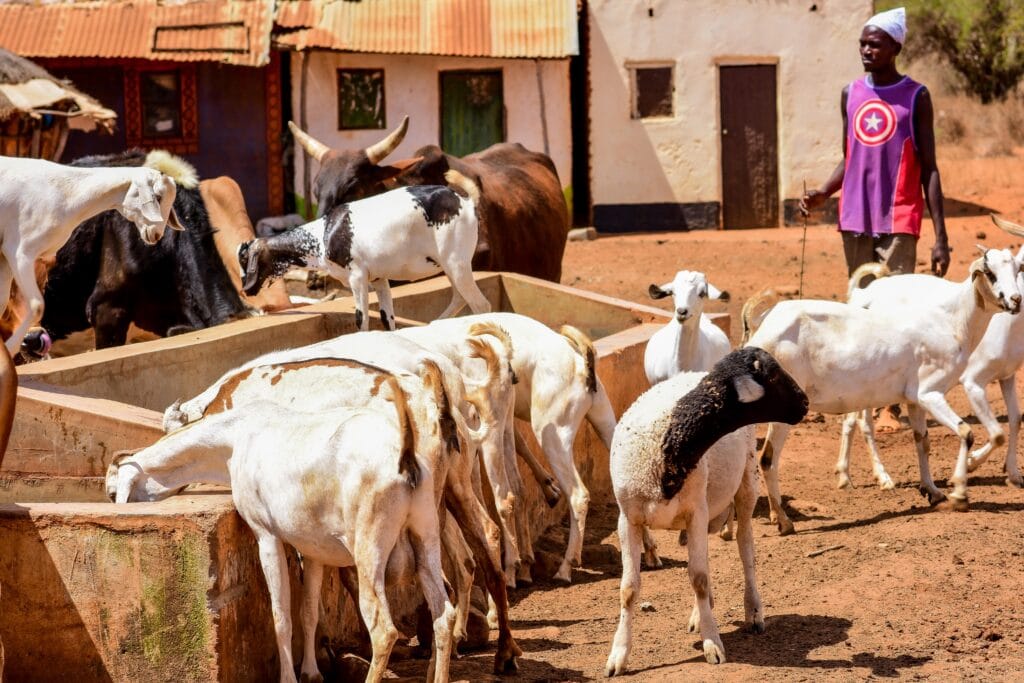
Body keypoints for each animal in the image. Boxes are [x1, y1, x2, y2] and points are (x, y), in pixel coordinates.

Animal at [0, 155, 184, 356]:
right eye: (157, 197)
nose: (156, 234)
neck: (67, 193)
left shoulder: (6, 260)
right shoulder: (20, 253)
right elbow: (37, 305)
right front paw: (10, 348)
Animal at [105, 393, 454, 683]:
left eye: (111, 492)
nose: (113, 500)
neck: (238, 437)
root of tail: (405, 456)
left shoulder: (266, 536)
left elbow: (281, 616)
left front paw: (289, 678)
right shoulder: (313, 550)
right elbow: (309, 612)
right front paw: (312, 673)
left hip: (370, 550)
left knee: (383, 629)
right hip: (426, 536)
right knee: (444, 614)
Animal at [598, 350, 806, 675]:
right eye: (772, 375)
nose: (805, 402)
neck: (667, 449)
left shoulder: (696, 512)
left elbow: (698, 578)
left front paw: (712, 644)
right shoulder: (628, 519)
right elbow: (629, 589)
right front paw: (618, 656)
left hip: (746, 484)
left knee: (746, 549)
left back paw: (753, 611)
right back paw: (701, 613)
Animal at [745, 248, 1024, 536]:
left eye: (1017, 269)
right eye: (989, 273)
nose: (1015, 301)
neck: (951, 321)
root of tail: (761, 329)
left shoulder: (914, 400)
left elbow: (923, 442)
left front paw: (933, 492)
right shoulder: (930, 393)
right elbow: (966, 432)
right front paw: (958, 492)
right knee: (767, 459)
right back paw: (784, 521)